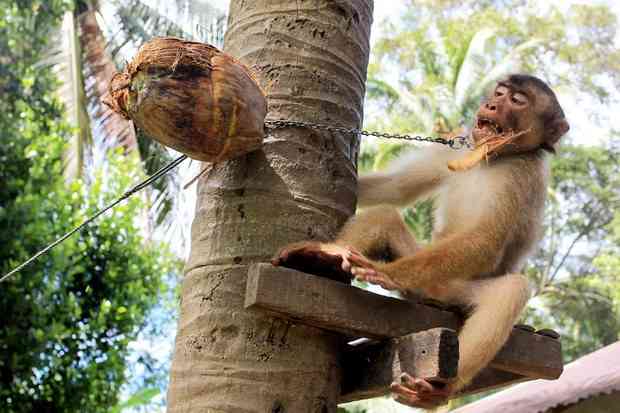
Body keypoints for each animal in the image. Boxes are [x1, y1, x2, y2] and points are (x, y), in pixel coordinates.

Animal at [274, 73, 568, 406]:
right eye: (500, 93)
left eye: (517, 101)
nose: (492, 105)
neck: (492, 158)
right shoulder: (458, 149)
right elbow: (395, 188)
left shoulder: (524, 174)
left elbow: (486, 241)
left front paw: (386, 273)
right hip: (422, 276)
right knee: (385, 215)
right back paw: (327, 254)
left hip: (449, 289)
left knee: (511, 289)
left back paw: (438, 389)